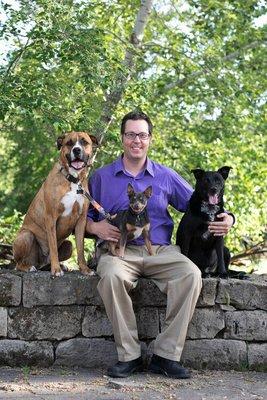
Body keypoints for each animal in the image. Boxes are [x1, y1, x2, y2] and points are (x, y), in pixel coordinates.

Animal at [12, 130, 98, 276]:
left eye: (84, 142)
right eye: (69, 143)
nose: (76, 150)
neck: (73, 180)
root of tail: (39, 262)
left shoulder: (81, 220)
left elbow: (80, 248)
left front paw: (85, 269)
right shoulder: (51, 217)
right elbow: (53, 247)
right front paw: (56, 270)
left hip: (68, 245)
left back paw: (56, 266)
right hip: (26, 236)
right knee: (18, 263)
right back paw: (29, 267)